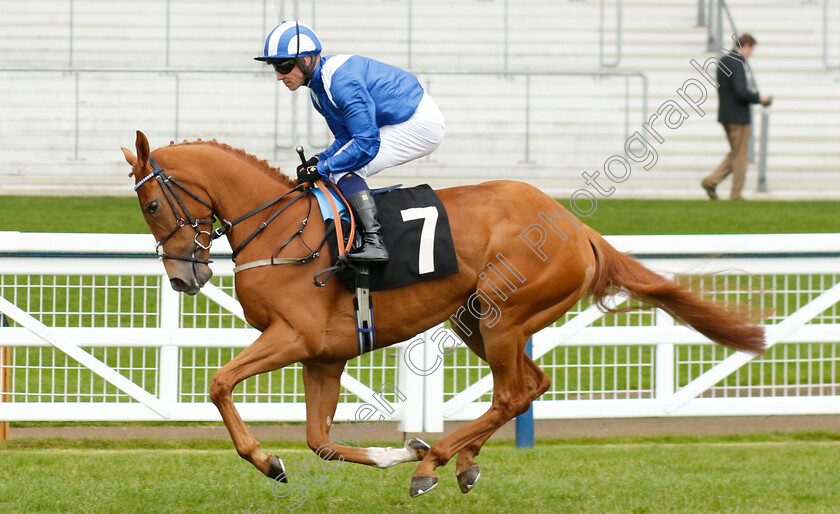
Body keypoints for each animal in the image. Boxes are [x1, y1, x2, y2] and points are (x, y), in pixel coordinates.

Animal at [123, 130, 768, 494]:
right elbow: (319, 441)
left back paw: (432, 462)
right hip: (475, 318)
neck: (282, 230)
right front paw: (388, 451)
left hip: (504, 315)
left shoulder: (295, 337)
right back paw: (461, 461)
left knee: (513, 392)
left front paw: (266, 459)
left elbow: (219, 382)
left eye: (152, 204)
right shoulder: (325, 356)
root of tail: (575, 225)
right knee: (531, 385)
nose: (183, 277)